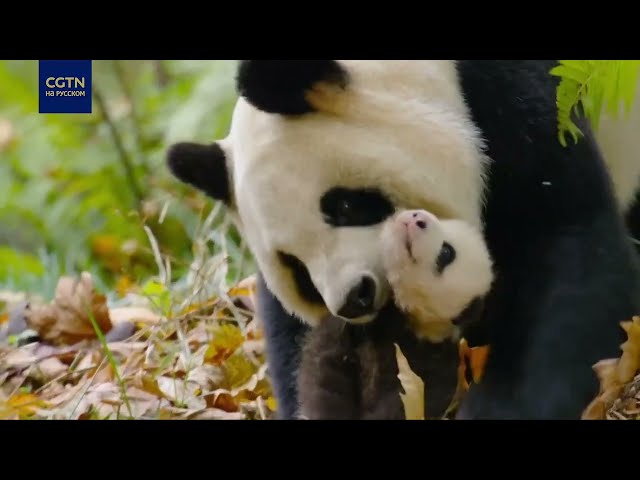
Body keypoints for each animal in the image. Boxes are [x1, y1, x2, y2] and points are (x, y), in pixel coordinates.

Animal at [168, 61, 640, 420]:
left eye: (345, 205)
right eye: (298, 271)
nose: (354, 297)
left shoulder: (523, 105)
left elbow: (570, 250)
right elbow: (297, 339)